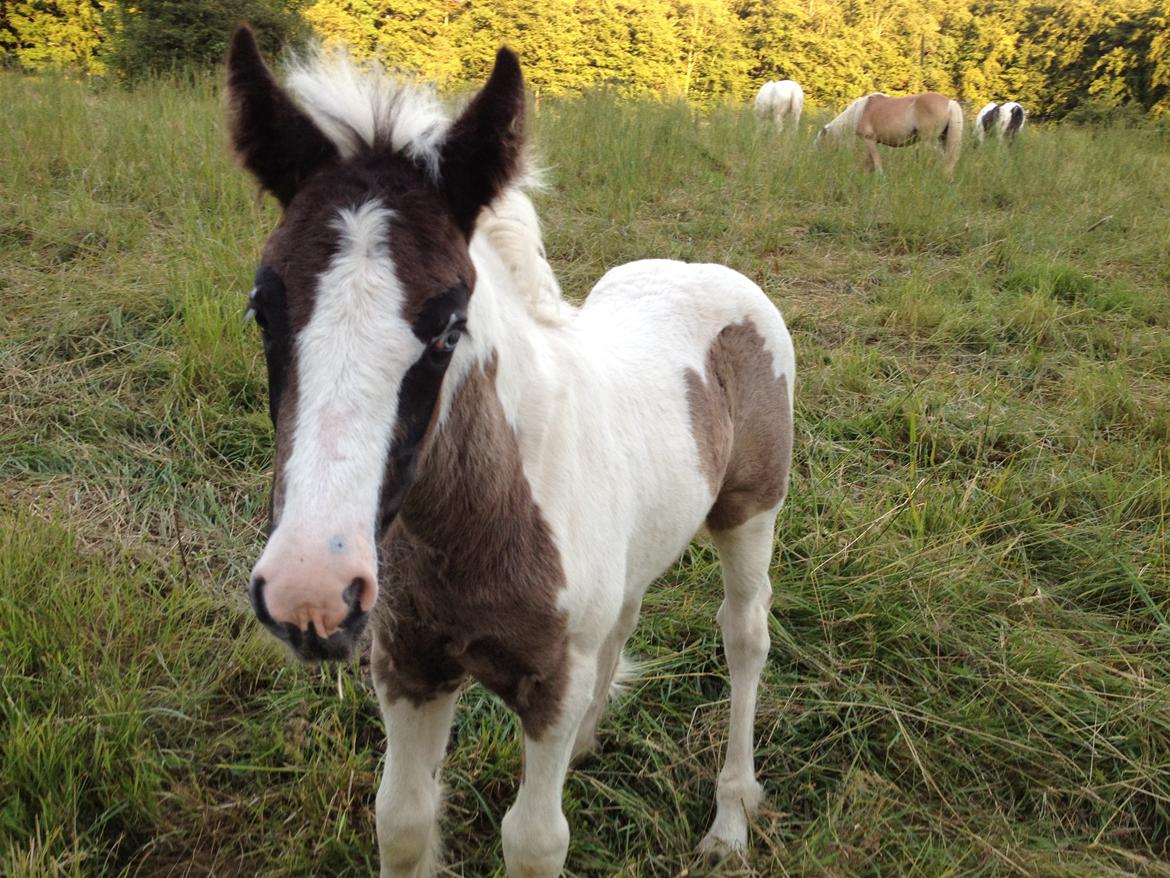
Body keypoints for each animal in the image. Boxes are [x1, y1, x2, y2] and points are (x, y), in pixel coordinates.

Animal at [225, 22, 795, 878]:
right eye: (262, 308)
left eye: (449, 327)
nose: (311, 590)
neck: (470, 528)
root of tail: (709, 272)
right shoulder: (409, 664)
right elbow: (402, 820)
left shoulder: (549, 681)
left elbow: (534, 840)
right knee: (627, 615)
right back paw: (595, 745)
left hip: (751, 515)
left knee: (745, 637)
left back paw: (730, 821)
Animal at [819, 91, 964, 176]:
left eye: (822, 144)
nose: (822, 164)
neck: (860, 112)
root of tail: (950, 102)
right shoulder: (873, 142)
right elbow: (869, 161)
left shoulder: (869, 140)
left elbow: (876, 161)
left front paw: (880, 177)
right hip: (943, 139)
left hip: (929, 141)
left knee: (944, 158)